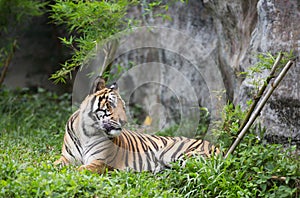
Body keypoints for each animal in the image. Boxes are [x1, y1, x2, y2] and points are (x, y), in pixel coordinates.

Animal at [54, 76, 218, 172]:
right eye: (110, 104)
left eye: (123, 107)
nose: (124, 121)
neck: (87, 133)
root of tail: (216, 146)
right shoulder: (66, 158)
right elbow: (52, 164)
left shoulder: (100, 161)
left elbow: (79, 170)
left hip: (180, 156)